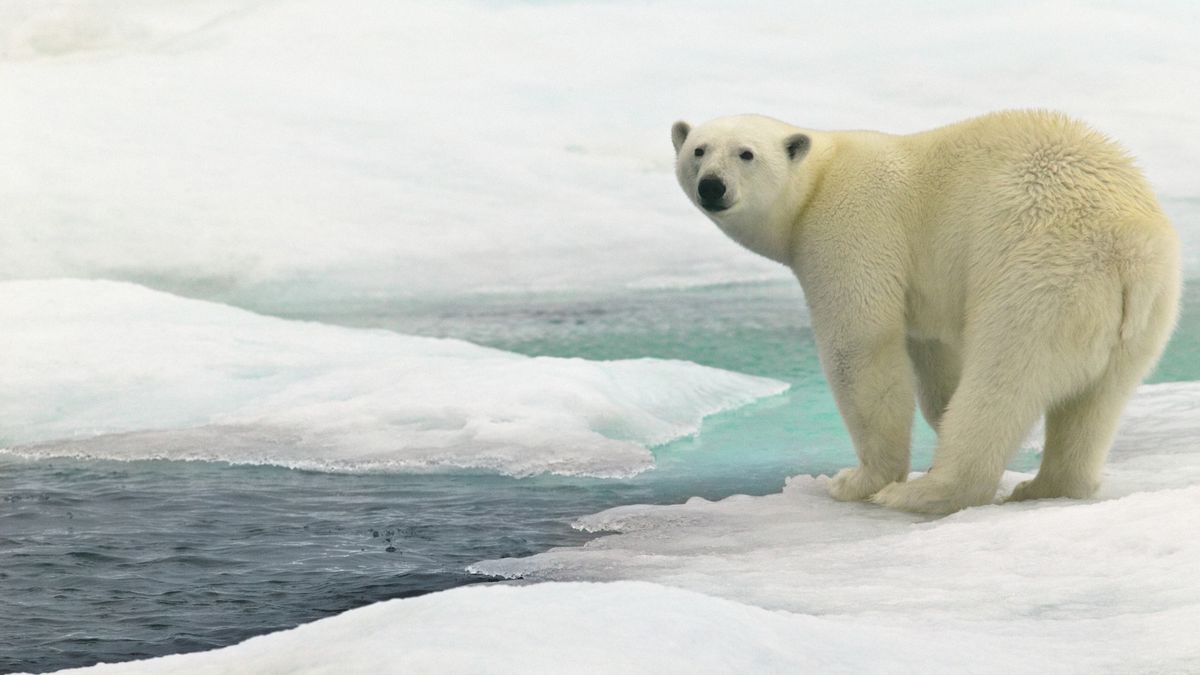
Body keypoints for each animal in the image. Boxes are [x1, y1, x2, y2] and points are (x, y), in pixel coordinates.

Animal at [672, 111, 1180, 514]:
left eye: (746, 154)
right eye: (698, 150)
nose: (712, 186)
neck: (819, 180)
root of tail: (1128, 250)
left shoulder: (852, 228)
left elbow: (860, 346)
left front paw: (858, 480)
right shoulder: (927, 296)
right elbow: (934, 358)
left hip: (1042, 275)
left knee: (1002, 379)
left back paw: (924, 493)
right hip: (1150, 312)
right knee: (1098, 401)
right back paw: (1045, 486)